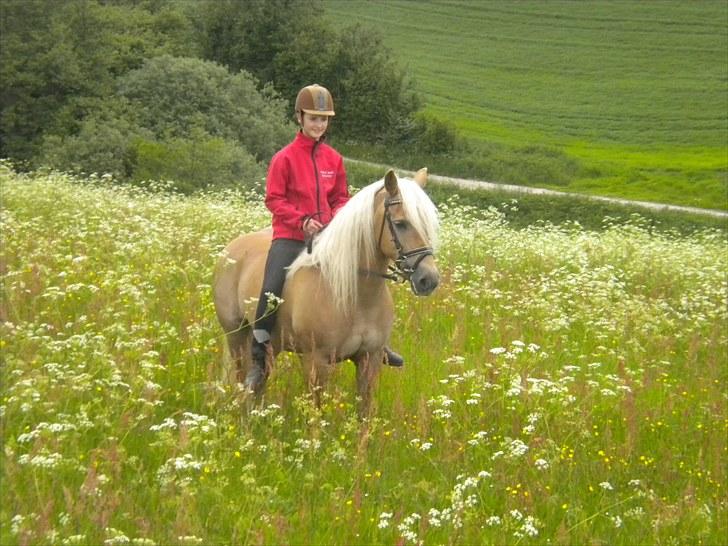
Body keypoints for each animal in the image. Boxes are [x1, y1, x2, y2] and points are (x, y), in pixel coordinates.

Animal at [210, 168, 438, 414]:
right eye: (400, 223)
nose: (429, 280)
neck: (356, 296)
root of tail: (230, 248)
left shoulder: (370, 359)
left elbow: (364, 413)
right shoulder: (317, 361)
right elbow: (317, 413)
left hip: (273, 344)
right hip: (236, 335)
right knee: (242, 378)